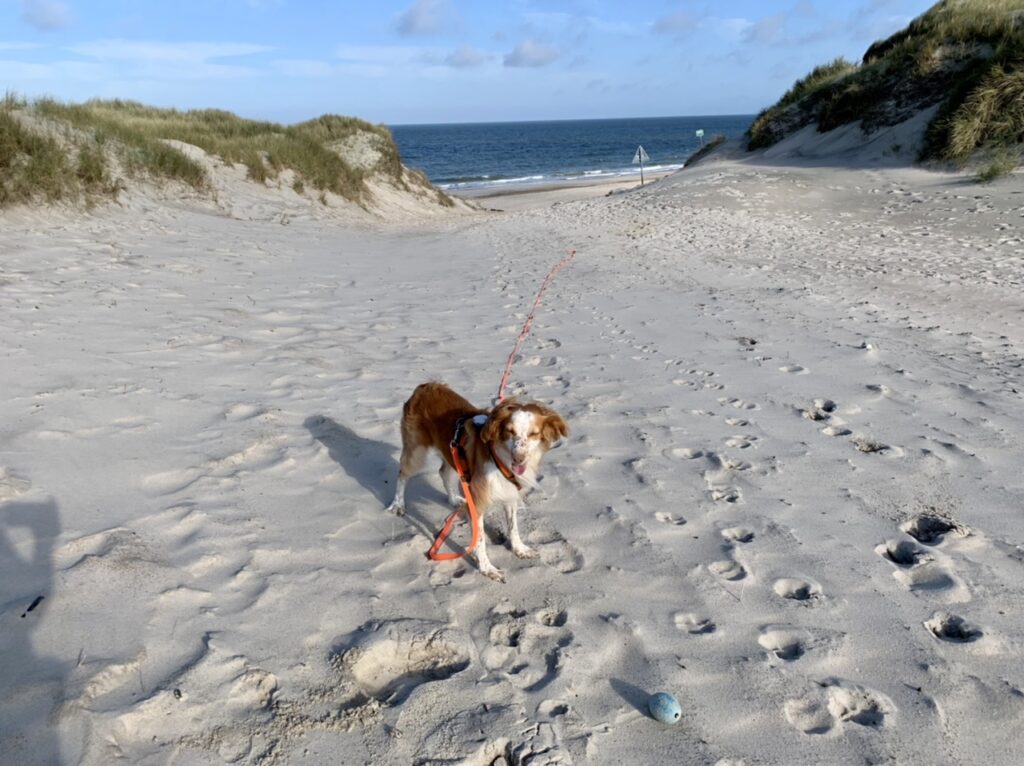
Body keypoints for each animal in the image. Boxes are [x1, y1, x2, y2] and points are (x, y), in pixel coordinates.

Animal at [385, 382, 568, 582]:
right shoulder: (478, 502)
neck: (499, 456)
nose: (519, 459)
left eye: (534, 434)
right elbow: (479, 540)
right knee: (402, 474)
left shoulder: (508, 493)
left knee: (443, 472)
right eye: (510, 431)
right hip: (416, 450)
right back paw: (398, 504)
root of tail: (425, 386)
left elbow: (513, 527)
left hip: (452, 452)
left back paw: (454, 500)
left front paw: (519, 549)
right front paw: (486, 568)